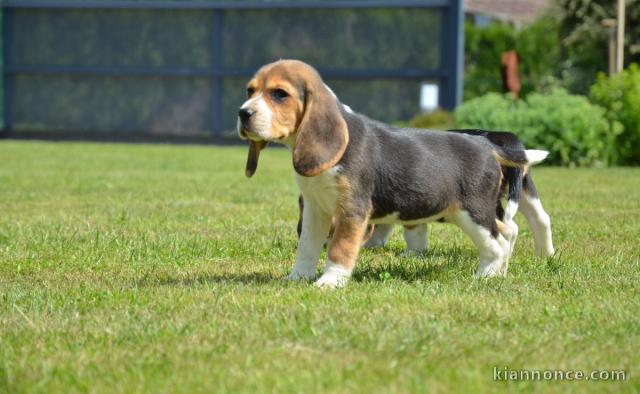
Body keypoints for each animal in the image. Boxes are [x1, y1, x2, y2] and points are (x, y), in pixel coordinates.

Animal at [238, 59, 548, 286]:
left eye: (280, 94)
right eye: (250, 91)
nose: (243, 113)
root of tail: (487, 144)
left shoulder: (352, 210)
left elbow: (340, 248)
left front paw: (329, 283)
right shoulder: (316, 209)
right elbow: (307, 247)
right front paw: (296, 278)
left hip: (472, 213)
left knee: (496, 243)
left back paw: (485, 277)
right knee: (506, 234)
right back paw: (500, 273)